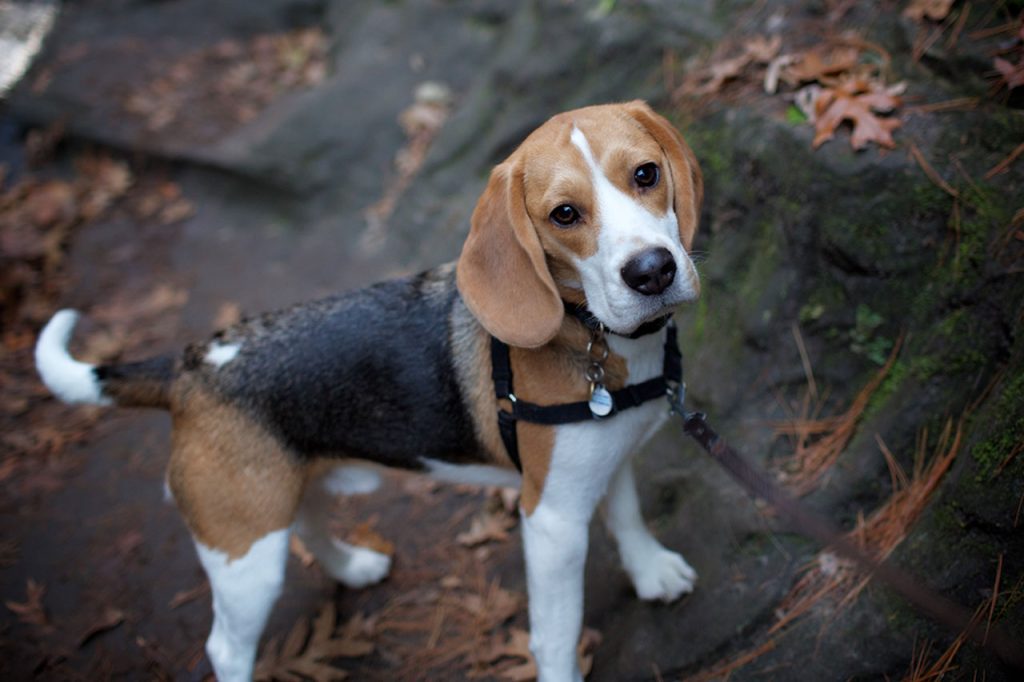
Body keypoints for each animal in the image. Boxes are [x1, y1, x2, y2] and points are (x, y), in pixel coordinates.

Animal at [34, 100, 704, 679]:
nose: (652, 271)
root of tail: (190, 366)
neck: (592, 334)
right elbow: (559, 633)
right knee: (225, 647)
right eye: (564, 214)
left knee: (307, 522)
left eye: (646, 174)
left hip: (284, 490)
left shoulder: (607, 459)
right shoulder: (553, 520)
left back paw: (353, 567)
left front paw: (651, 572)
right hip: (245, 554)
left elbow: (628, 516)